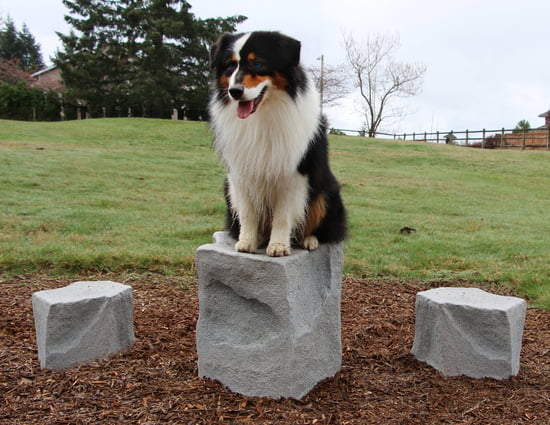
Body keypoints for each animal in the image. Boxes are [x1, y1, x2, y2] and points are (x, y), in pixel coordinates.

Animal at [209, 30, 348, 255]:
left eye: (257, 63)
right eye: (231, 65)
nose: (235, 91)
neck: (263, 114)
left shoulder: (294, 173)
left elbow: (283, 215)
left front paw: (279, 246)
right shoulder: (240, 173)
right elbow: (248, 212)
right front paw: (247, 242)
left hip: (326, 192)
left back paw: (309, 240)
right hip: (227, 189)